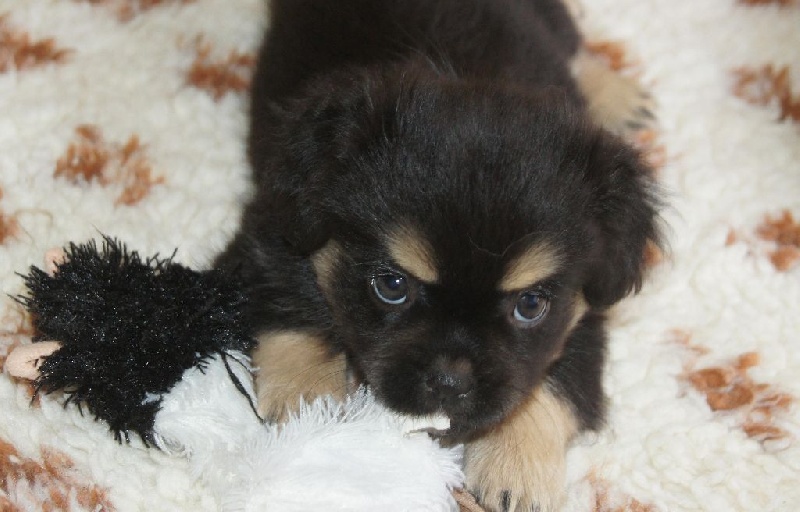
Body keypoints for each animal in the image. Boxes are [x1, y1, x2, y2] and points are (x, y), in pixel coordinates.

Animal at [215, 0, 662, 510]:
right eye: (392, 286)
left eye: (530, 306)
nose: (451, 382)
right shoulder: (276, 228)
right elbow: (294, 307)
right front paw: (307, 400)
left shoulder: (585, 313)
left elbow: (554, 386)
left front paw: (517, 470)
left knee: (573, 45)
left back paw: (620, 96)